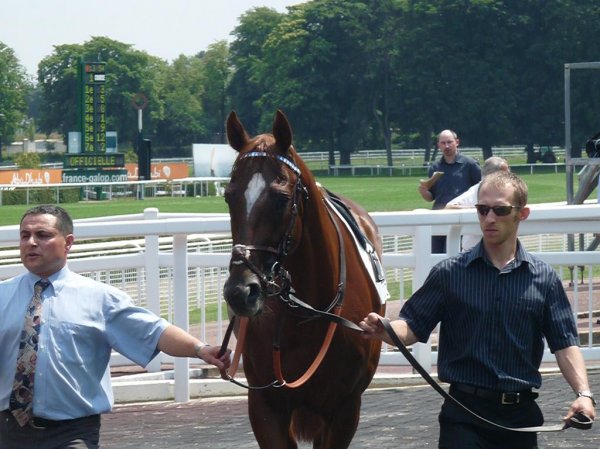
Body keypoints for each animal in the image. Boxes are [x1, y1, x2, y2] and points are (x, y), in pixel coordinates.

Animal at [223, 109, 386, 448]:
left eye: (281, 199)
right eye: (229, 196)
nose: (240, 291)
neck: (303, 315)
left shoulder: (344, 408)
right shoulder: (265, 406)